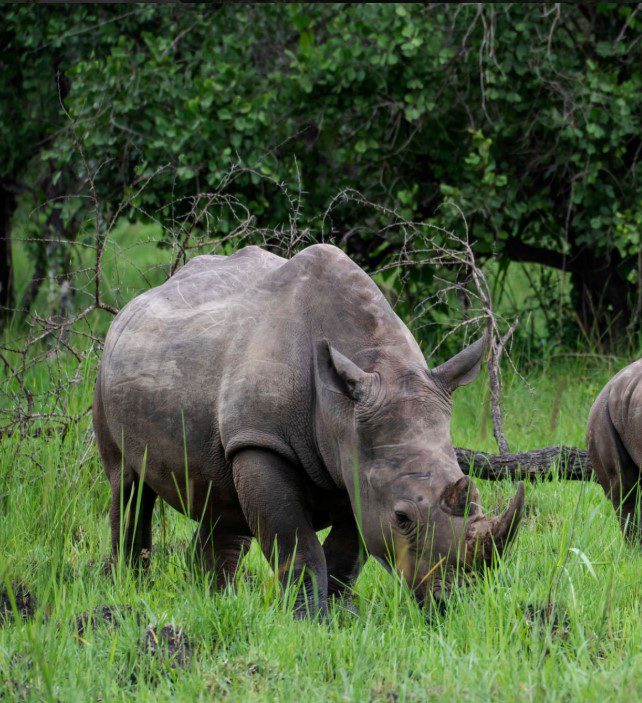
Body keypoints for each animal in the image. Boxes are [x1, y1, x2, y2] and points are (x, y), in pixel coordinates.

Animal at [94, 244, 524, 614]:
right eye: (402, 518)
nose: (451, 601)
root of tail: (139, 299)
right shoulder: (263, 442)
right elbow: (296, 545)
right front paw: (309, 619)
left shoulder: (360, 465)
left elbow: (347, 552)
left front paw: (339, 614)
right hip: (108, 367)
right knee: (127, 485)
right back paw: (127, 587)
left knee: (223, 499)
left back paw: (214, 600)